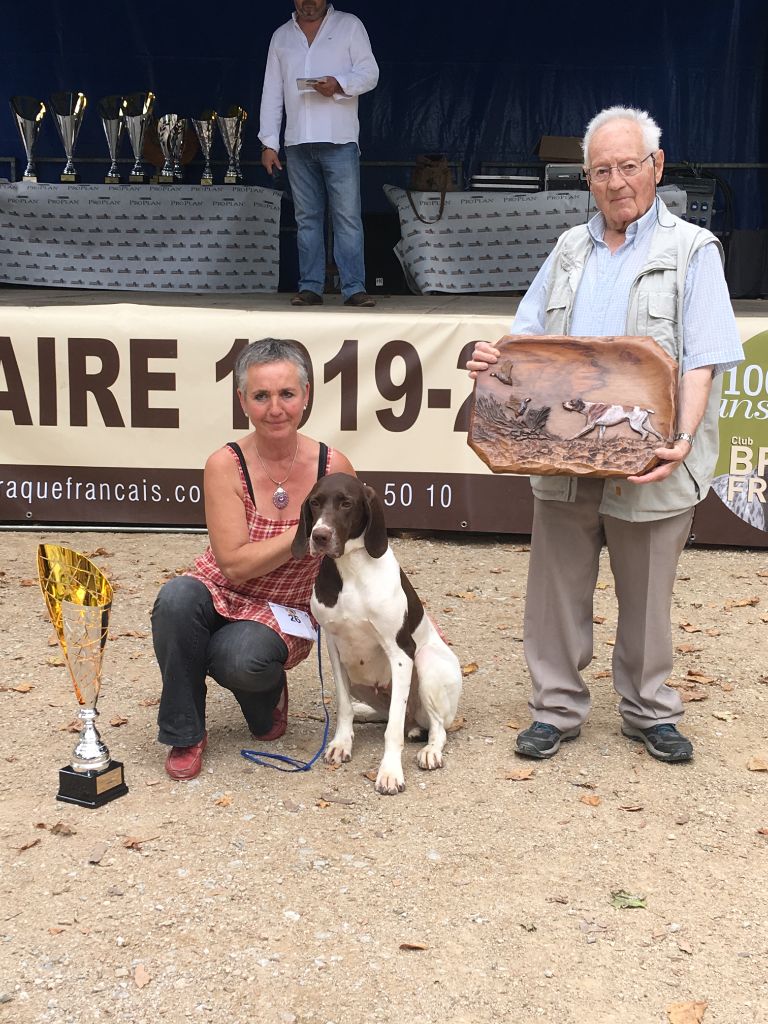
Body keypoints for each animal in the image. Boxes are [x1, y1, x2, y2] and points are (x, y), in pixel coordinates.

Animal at [292, 475, 462, 794]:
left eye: (346, 503)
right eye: (315, 502)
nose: (319, 536)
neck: (351, 570)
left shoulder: (401, 653)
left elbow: (392, 730)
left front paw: (390, 772)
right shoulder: (334, 649)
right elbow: (344, 706)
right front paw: (341, 743)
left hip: (426, 663)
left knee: (436, 727)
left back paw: (430, 750)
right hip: (358, 679)